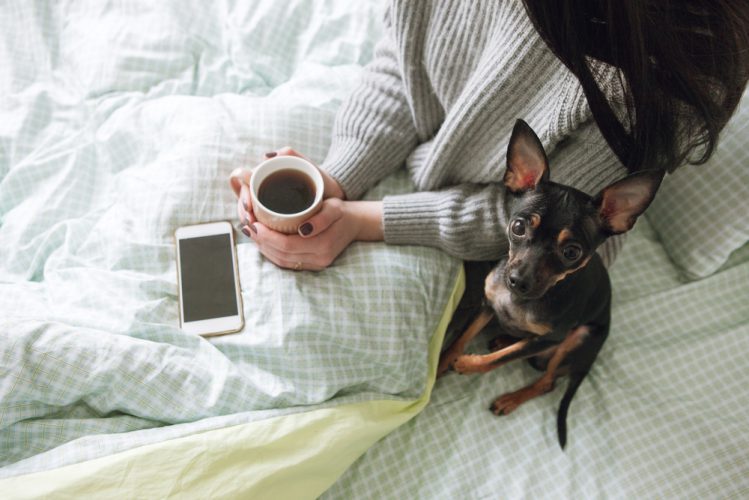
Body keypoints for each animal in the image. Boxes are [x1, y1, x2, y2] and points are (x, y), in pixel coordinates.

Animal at [438, 120, 660, 450]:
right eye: (518, 227)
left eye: (571, 253)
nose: (517, 281)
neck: (522, 301)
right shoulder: (487, 305)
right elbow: (459, 340)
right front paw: (441, 364)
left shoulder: (554, 336)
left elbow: (499, 360)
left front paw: (467, 365)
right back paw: (504, 338)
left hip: (578, 338)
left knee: (547, 382)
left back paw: (511, 398)